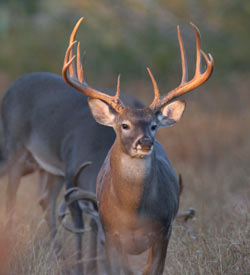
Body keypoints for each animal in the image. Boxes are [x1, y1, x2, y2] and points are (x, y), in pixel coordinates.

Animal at [63, 18, 213, 274]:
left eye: (153, 125)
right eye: (124, 125)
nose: (144, 142)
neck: (132, 214)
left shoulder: (163, 231)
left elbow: (153, 269)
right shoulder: (110, 235)